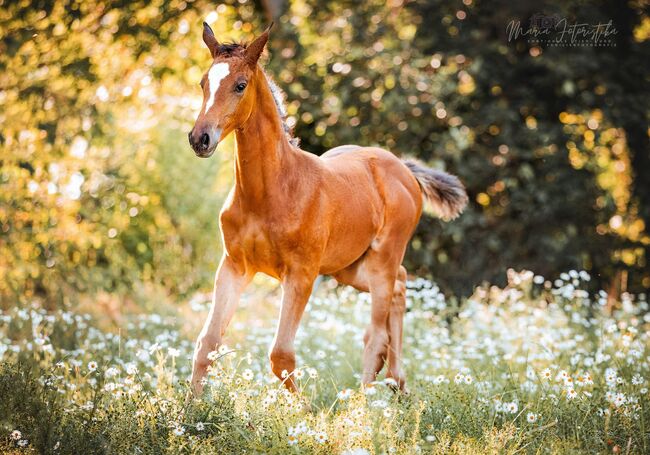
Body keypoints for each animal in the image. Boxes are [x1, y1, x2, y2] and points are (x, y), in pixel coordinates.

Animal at [187, 25, 466, 396]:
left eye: (240, 84)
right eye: (203, 82)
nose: (200, 138)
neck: (271, 191)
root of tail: (404, 169)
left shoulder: (301, 274)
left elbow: (281, 354)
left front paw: (304, 411)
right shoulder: (234, 266)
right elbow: (208, 343)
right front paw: (190, 408)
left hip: (382, 260)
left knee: (376, 331)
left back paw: (364, 402)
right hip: (348, 268)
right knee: (401, 285)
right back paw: (396, 382)